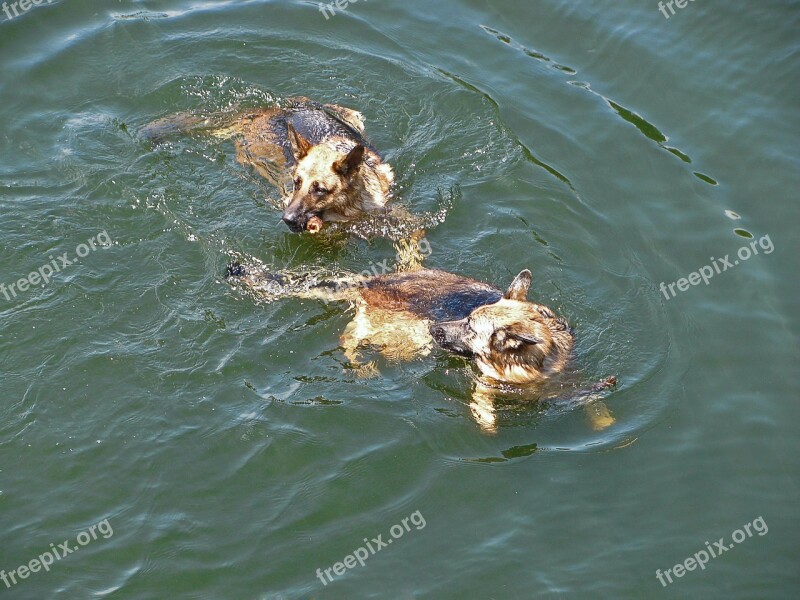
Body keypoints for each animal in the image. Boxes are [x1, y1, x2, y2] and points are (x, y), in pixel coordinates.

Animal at [227, 264, 620, 432]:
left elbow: (591, 398)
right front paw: (487, 421)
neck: (531, 369)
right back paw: (359, 362)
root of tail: (374, 281)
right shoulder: (484, 383)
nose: (435, 329)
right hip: (401, 337)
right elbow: (483, 401)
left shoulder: (571, 380)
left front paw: (604, 419)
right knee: (349, 339)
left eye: (470, 326)